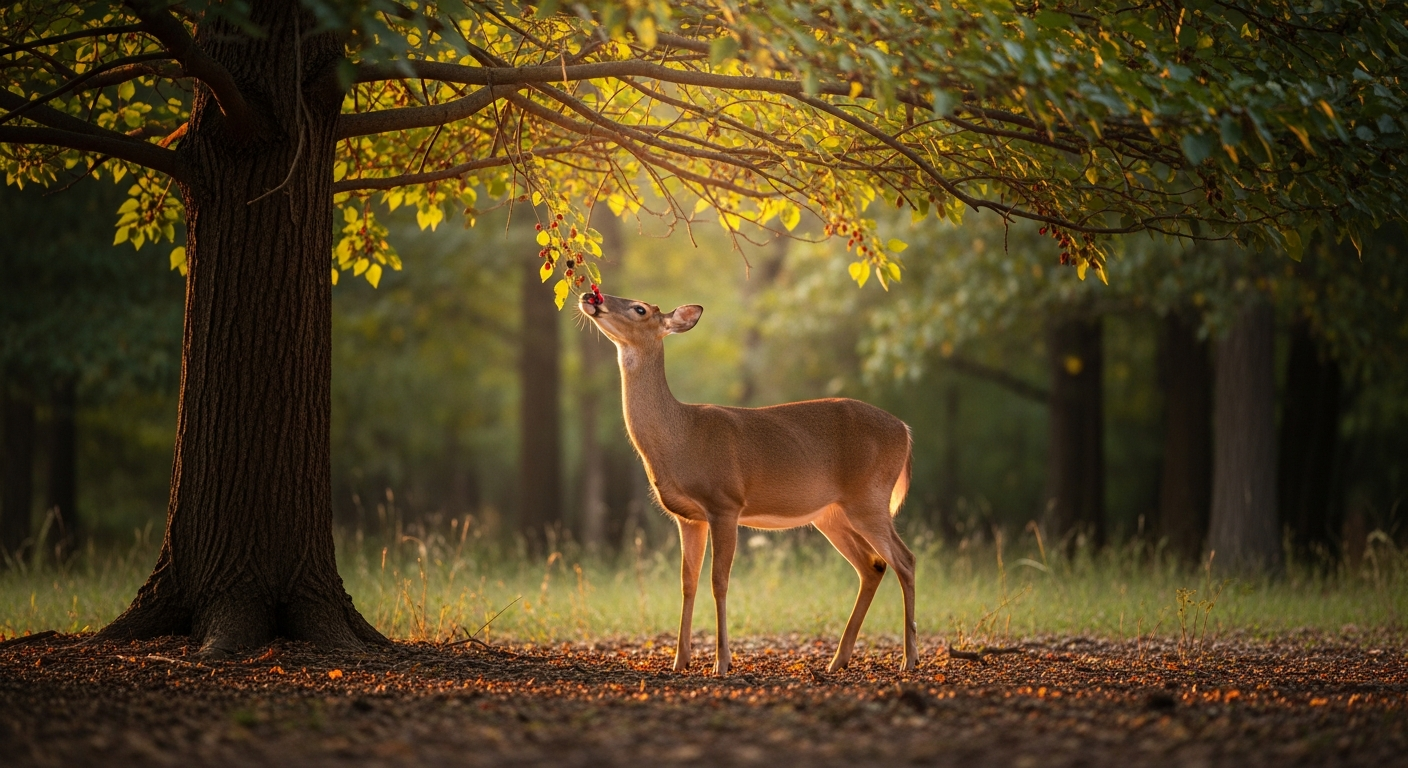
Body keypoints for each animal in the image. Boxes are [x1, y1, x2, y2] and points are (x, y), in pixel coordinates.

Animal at [578, 291, 917, 676]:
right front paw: (680, 660)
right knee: (873, 566)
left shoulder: (724, 503)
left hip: (869, 497)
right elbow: (687, 582)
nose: (590, 295)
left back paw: (909, 658)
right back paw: (838, 660)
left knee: (905, 560)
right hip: (831, 515)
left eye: (640, 309)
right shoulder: (688, 517)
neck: (680, 436)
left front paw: (722, 662)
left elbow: (719, 581)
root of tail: (905, 431)